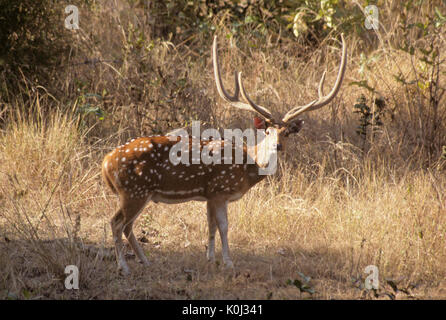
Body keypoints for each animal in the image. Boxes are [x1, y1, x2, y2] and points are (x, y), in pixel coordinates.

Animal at [103, 35, 346, 276]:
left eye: (286, 133)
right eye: (267, 131)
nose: (278, 146)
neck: (247, 166)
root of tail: (106, 163)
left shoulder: (210, 194)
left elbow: (210, 226)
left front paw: (210, 258)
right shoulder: (220, 189)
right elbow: (224, 226)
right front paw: (228, 262)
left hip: (138, 193)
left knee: (127, 225)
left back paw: (145, 261)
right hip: (134, 190)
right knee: (116, 222)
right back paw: (123, 266)